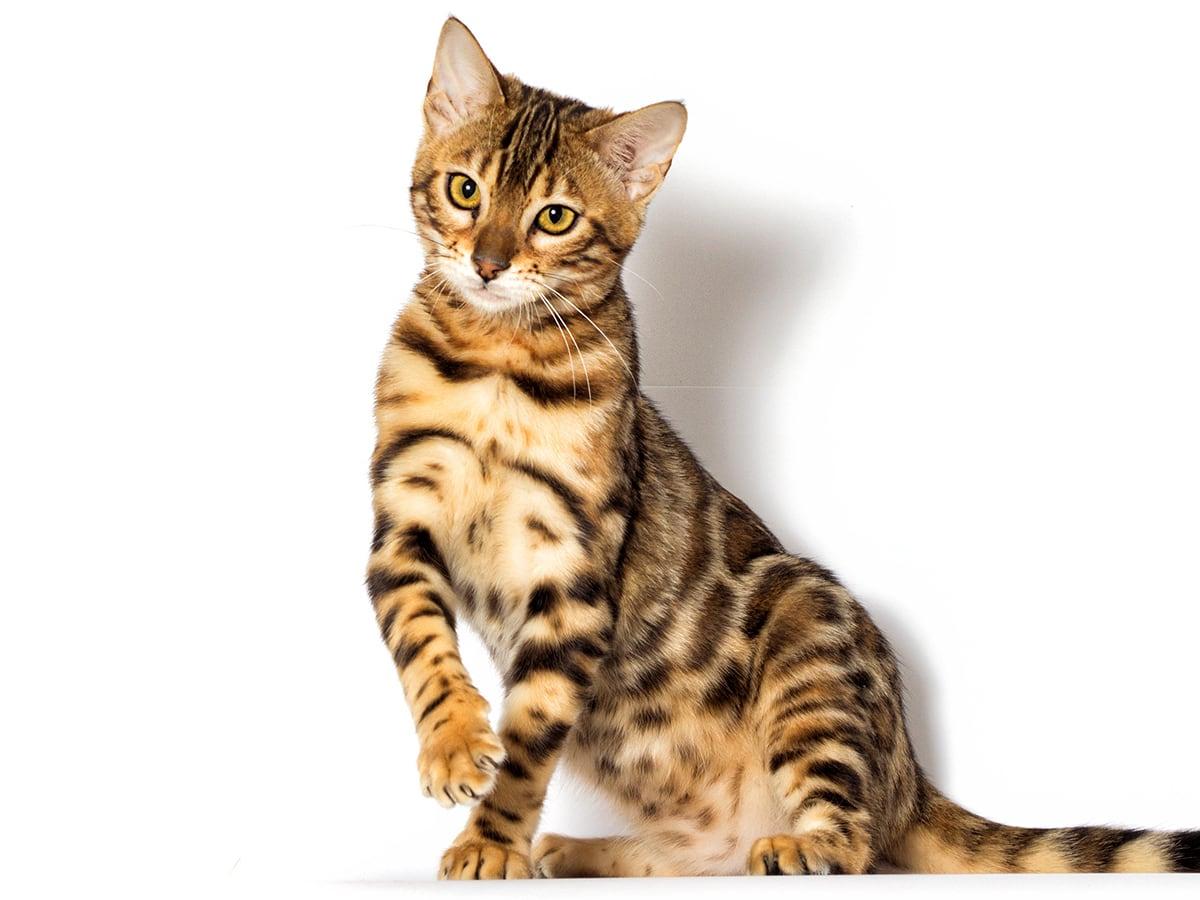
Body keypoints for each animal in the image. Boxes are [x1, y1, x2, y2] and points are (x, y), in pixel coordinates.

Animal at [367, 17, 1200, 883]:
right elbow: (422, 645)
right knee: (702, 856)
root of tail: (910, 775)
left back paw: (801, 844)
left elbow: (533, 736)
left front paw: (492, 840)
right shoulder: (402, 520)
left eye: (556, 218)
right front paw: (456, 746)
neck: (496, 362)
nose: (488, 264)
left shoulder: (571, 570)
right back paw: (574, 850)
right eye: (465, 191)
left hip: (807, 637)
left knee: (857, 842)